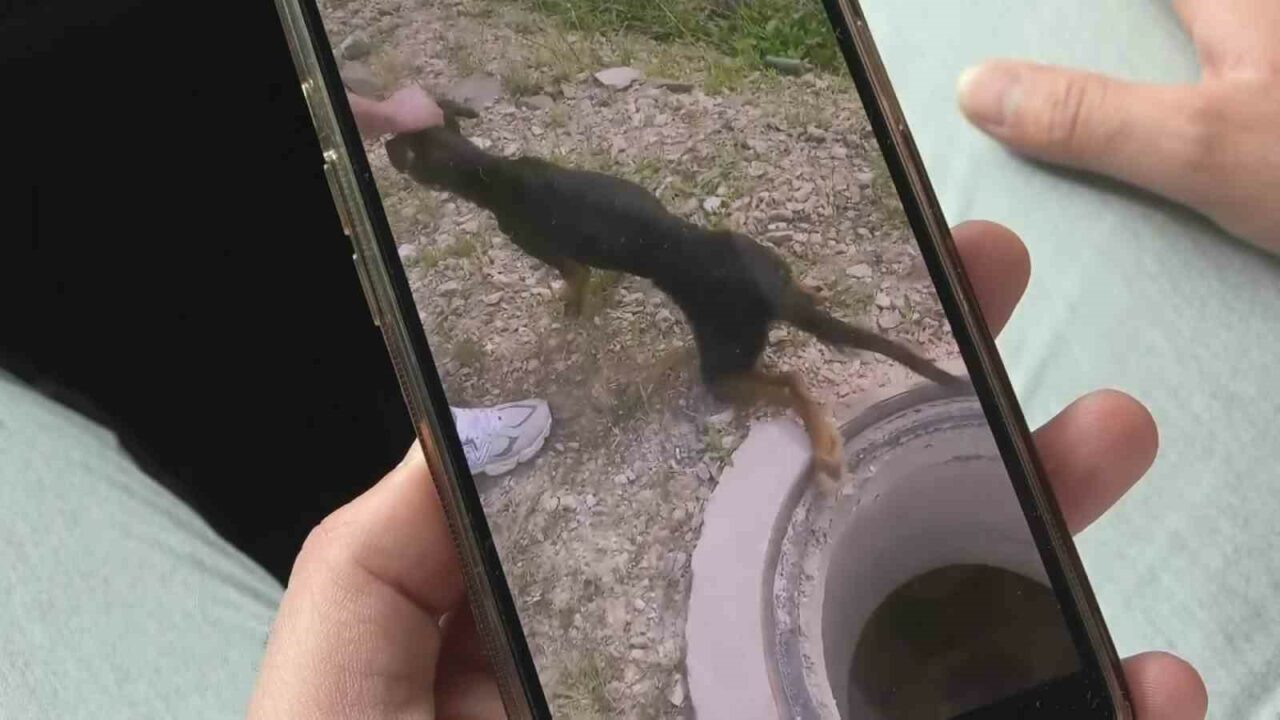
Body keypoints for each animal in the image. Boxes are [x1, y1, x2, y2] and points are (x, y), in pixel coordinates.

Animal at [385, 99, 965, 488]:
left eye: (399, 149)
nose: (383, 145)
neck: (491, 171)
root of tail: (767, 292)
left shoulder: (553, 253)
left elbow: (576, 280)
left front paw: (571, 307)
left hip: (722, 362)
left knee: (791, 381)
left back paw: (823, 444)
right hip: (758, 267)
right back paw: (810, 289)